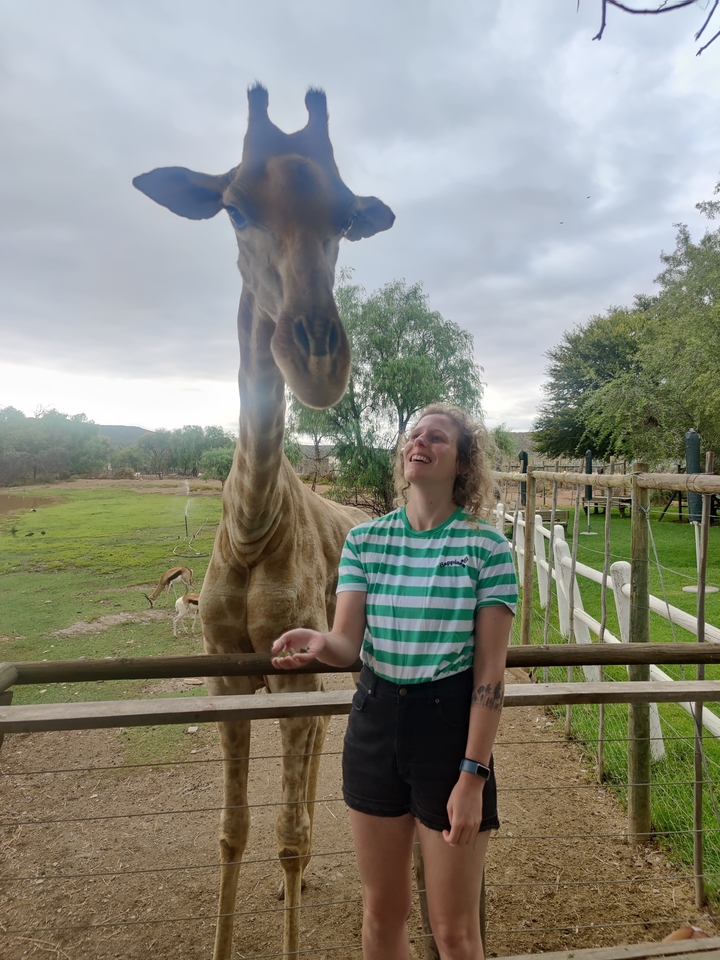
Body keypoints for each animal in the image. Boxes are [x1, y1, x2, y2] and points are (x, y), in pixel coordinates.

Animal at [133, 84, 394, 960]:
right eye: (234, 206)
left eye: (347, 217)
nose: (317, 359)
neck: (251, 528)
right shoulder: (229, 677)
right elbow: (233, 832)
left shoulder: (298, 673)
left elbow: (284, 835)